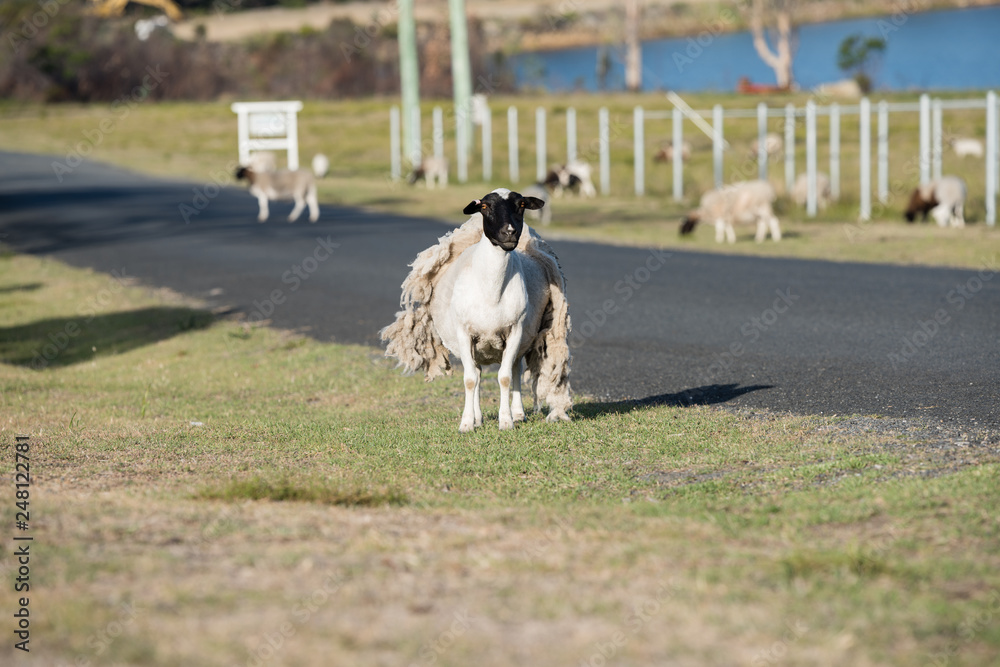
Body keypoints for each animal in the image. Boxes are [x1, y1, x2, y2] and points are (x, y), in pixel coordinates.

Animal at [380, 188, 573, 432]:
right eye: (484, 206)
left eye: (521, 204)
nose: (509, 232)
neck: (492, 290)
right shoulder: (464, 333)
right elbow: (470, 379)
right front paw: (467, 423)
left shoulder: (515, 331)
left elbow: (505, 377)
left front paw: (506, 421)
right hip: (475, 344)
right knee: (478, 375)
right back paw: (478, 418)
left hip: (521, 338)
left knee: (515, 371)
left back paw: (518, 413)